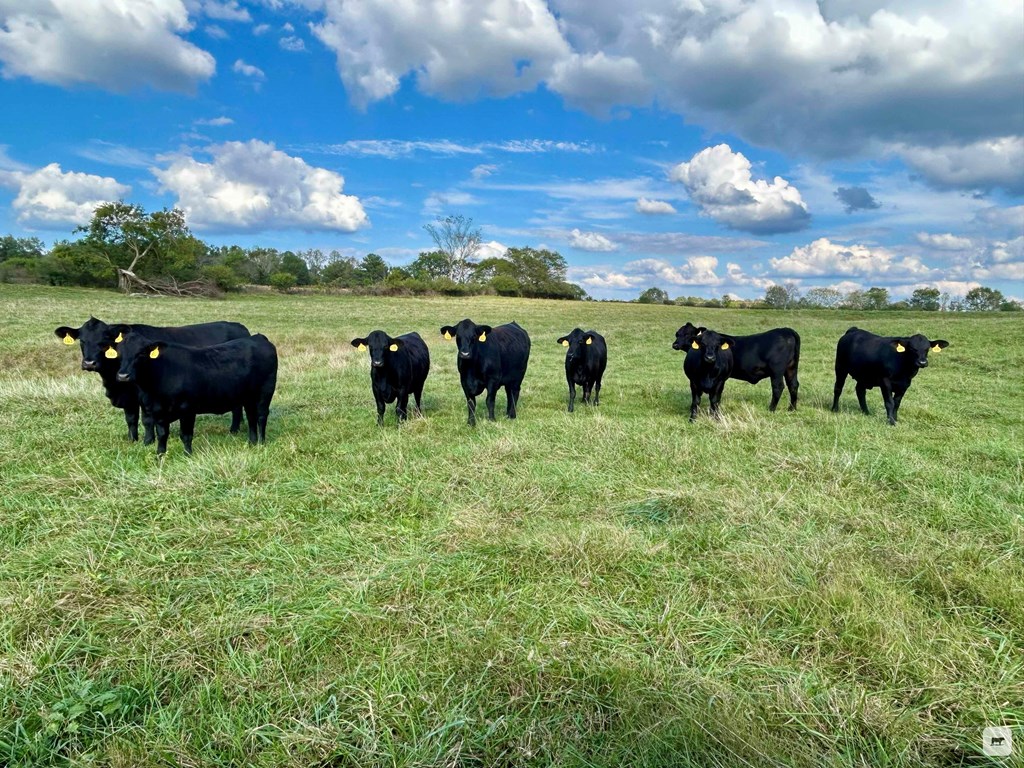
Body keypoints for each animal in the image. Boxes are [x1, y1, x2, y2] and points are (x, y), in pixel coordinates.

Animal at [55, 315, 248, 442]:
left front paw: (148, 441)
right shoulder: (128, 397)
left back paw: (234, 430)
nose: (89, 363)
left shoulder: (145, 396)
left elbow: (147, 420)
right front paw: (132, 440)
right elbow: (131, 419)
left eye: (105, 341)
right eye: (82, 341)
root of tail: (239, 327)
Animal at [116, 331, 278, 454]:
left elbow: (186, 435)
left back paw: (261, 443)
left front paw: (188, 455)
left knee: (261, 416)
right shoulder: (159, 412)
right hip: (248, 397)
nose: (123, 376)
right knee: (251, 417)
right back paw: (252, 442)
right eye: (119, 354)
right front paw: (160, 455)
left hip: (266, 391)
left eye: (141, 354)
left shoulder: (187, 409)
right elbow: (162, 435)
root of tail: (258, 337)